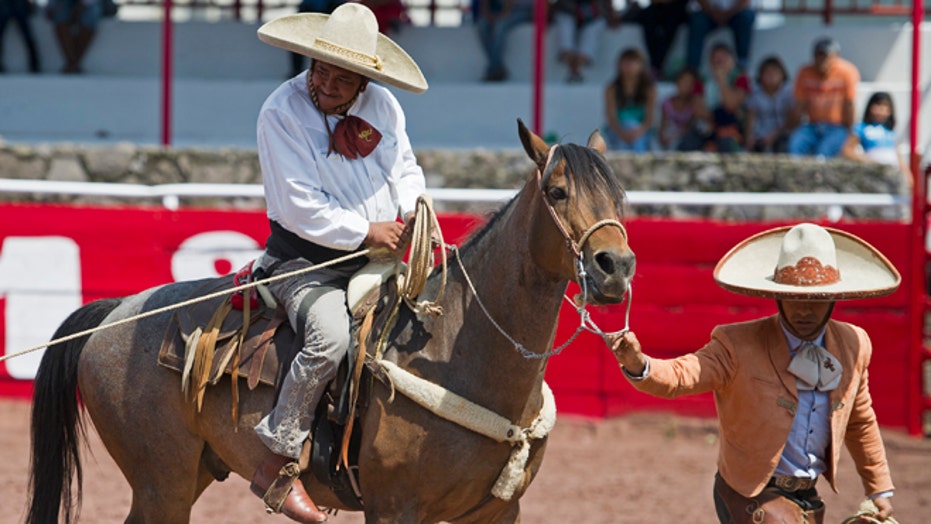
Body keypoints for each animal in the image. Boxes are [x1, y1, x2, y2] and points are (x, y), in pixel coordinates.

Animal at [25, 119, 636, 524]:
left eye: (620, 195)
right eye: (557, 191)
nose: (616, 266)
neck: (458, 355)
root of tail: (115, 312)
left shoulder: (495, 514)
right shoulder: (394, 510)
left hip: (188, 474)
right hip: (162, 483)